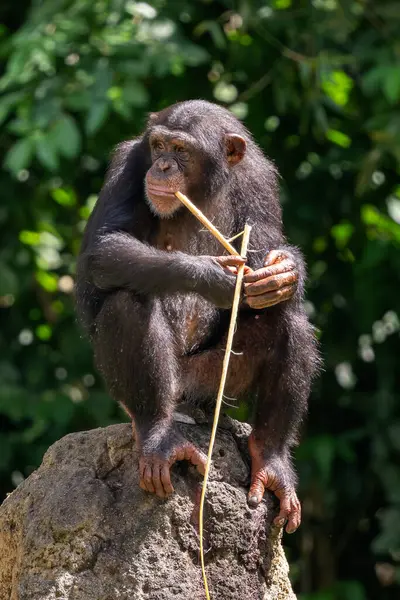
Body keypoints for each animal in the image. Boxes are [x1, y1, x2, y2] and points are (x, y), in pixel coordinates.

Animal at [74, 99, 318, 536]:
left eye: (181, 150)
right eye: (158, 145)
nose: (163, 166)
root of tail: (188, 402)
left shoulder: (260, 181)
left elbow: (267, 252)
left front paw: (284, 272)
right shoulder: (128, 164)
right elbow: (106, 246)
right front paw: (216, 277)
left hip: (212, 384)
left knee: (289, 323)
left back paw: (270, 458)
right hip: (169, 389)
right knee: (127, 303)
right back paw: (157, 436)